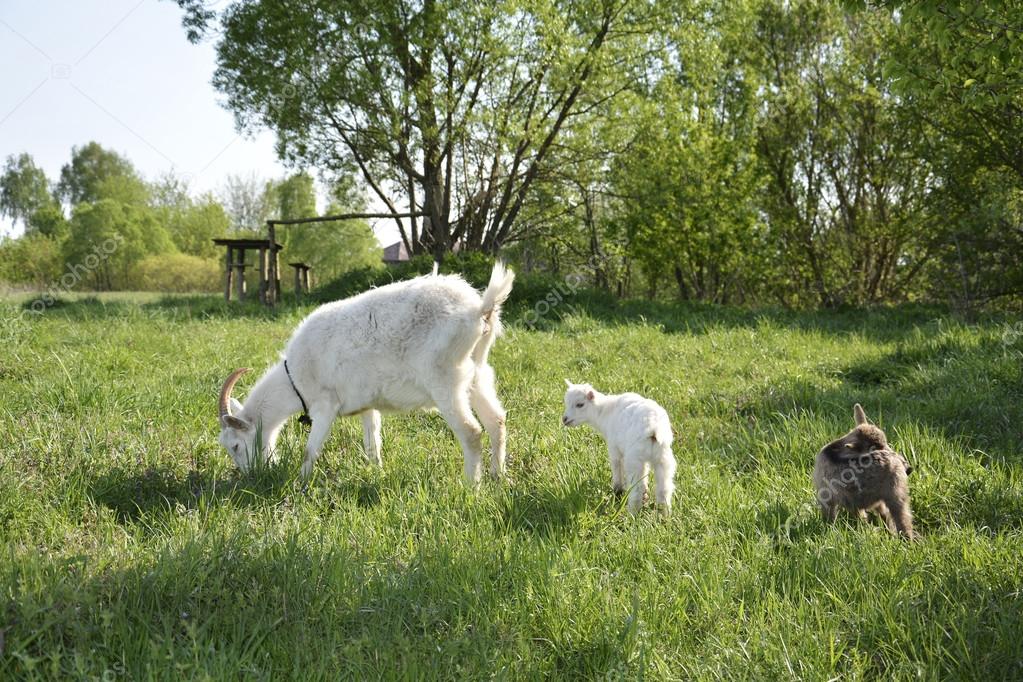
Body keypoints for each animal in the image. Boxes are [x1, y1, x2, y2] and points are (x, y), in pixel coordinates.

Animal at [217, 262, 515, 483]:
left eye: (235, 446)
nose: (250, 476)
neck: (295, 379)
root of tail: (479, 310)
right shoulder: (366, 405)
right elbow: (373, 443)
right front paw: (377, 472)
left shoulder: (326, 404)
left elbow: (310, 450)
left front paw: (300, 483)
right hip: (476, 374)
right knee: (496, 421)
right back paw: (498, 477)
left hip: (445, 380)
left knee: (471, 432)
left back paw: (471, 487)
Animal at [562, 381, 676, 516]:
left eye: (580, 405)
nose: (564, 419)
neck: (604, 412)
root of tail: (654, 428)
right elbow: (646, 474)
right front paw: (645, 495)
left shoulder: (614, 447)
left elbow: (617, 468)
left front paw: (617, 492)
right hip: (663, 457)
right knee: (664, 489)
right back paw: (664, 516)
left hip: (634, 457)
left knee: (636, 489)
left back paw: (632, 514)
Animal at [813, 404, 915, 540]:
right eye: (874, 447)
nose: (908, 468)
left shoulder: (826, 496)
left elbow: (829, 518)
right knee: (888, 516)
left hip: (896, 491)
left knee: (902, 518)